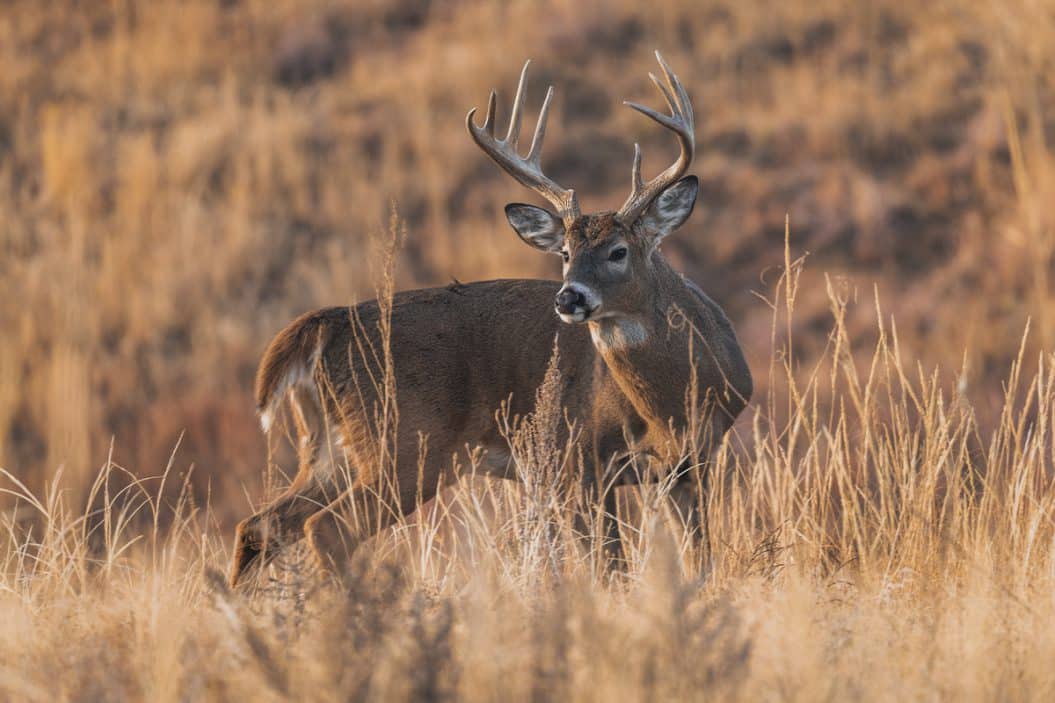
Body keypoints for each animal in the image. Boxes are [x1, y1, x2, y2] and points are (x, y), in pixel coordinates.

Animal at [229, 52, 752, 587]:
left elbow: (698, 561)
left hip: (330, 448)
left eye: (618, 251)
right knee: (325, 528)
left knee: (261, 525)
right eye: (565, 254)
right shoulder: (578, 460)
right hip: (405, 442)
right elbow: (610, 568)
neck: (670, 404)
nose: (569, 298)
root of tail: (325, 324)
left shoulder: (690, 464)